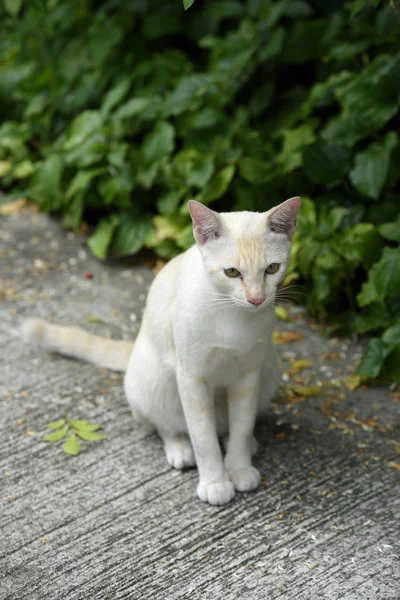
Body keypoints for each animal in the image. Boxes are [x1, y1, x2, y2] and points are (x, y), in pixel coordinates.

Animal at [22, 197, 300, 506]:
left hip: (269, 369)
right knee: (166, 424)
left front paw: (238, 467)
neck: (232, 315)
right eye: (232, 272)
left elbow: (242, 425)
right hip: (155, 379)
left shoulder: (248, 376)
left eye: (272, 269)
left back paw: (242, 445)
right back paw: (179, 447)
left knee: (229, 428)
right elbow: (203, 437)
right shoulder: (191, 378)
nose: (256, 299)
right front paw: (214, 481)